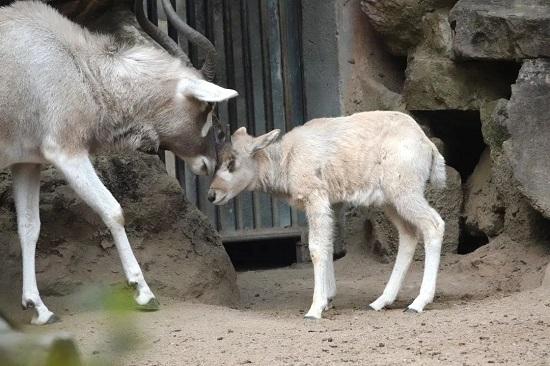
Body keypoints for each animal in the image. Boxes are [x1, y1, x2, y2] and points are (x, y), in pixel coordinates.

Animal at [1, 1, 239, 324]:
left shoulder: (27, 163)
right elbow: (113, 210)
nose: (210, 164)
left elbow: (29, 226)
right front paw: (144, 293)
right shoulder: (67, 153)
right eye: (205, 108)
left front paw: (39, 308)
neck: (77, 66)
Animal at [211, 111, 448, 318]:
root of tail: (427, 144)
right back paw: (381, 301)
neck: (287, 157)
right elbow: (329, 244)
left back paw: (418, 303)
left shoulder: (316, 199)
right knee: (409, 234)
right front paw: (328, 298)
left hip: (405, 193)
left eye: (232, 162)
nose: (211, 194)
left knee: (433, 224)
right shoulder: (333, 204)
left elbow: (316, 248)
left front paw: (315, 308)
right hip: (391, 202)